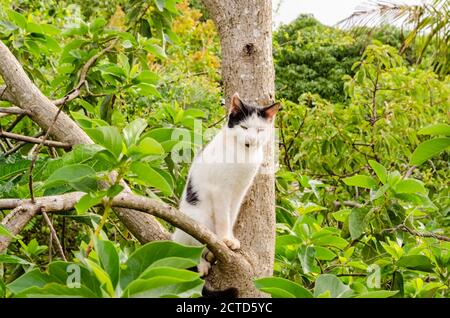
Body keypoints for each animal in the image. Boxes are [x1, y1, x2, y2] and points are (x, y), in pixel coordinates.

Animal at [171, 92, 280, 276]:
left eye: (260, 130)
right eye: (244, 127)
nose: (251, 140)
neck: (244, 155)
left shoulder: (240, 190)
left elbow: (232, 215)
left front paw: (231, 239)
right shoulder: (220, 190)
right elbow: (223, 218)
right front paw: (224, 239)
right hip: (196, 220)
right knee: (191, 249)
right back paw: (202, 264)